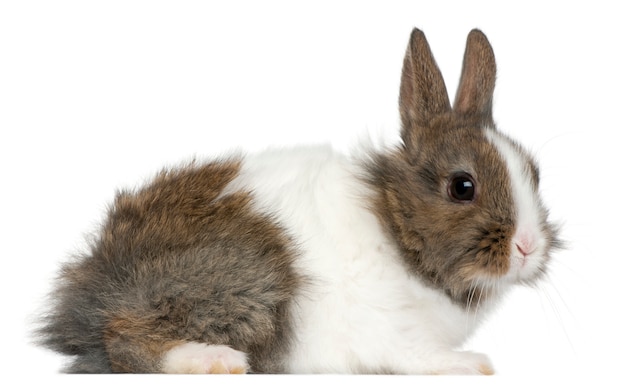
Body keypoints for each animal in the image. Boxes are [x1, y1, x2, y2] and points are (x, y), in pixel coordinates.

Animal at [36, 29, 560, 372]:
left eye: (534, 173)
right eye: (462, 186)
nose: (528, 247)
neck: (394, 225)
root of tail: (94, 283)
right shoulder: (389, 330)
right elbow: (417, 356)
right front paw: (471, 364)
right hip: (249, 279)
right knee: (123, 339)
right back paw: (213, 359)